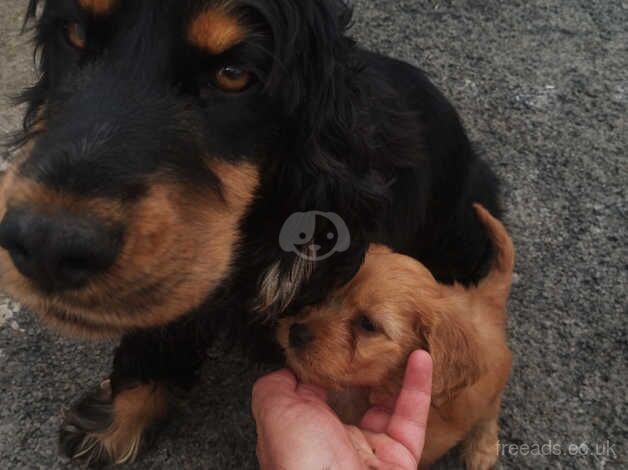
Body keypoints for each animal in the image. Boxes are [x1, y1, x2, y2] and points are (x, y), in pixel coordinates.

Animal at [278, 206, 512, 470]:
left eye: (368, 324)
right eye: (326, 295)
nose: (295, 332)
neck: (364, 390)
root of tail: (484, 298)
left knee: (490, 413)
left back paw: (483, 448)